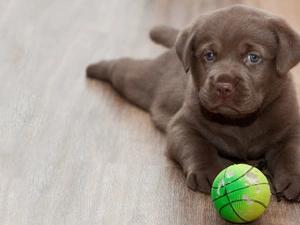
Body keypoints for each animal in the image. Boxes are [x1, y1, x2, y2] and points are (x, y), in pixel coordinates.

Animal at [86, 5, 300, 201]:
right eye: (209, 55)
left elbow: (292, 152)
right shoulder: (181, 126)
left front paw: (293, 179)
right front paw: (206, 171)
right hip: (137, 81)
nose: (223, 86)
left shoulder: (292, 127)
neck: (239, 121)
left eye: (253, 57)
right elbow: (197, 146)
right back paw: (94, 67)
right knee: (120, 67)